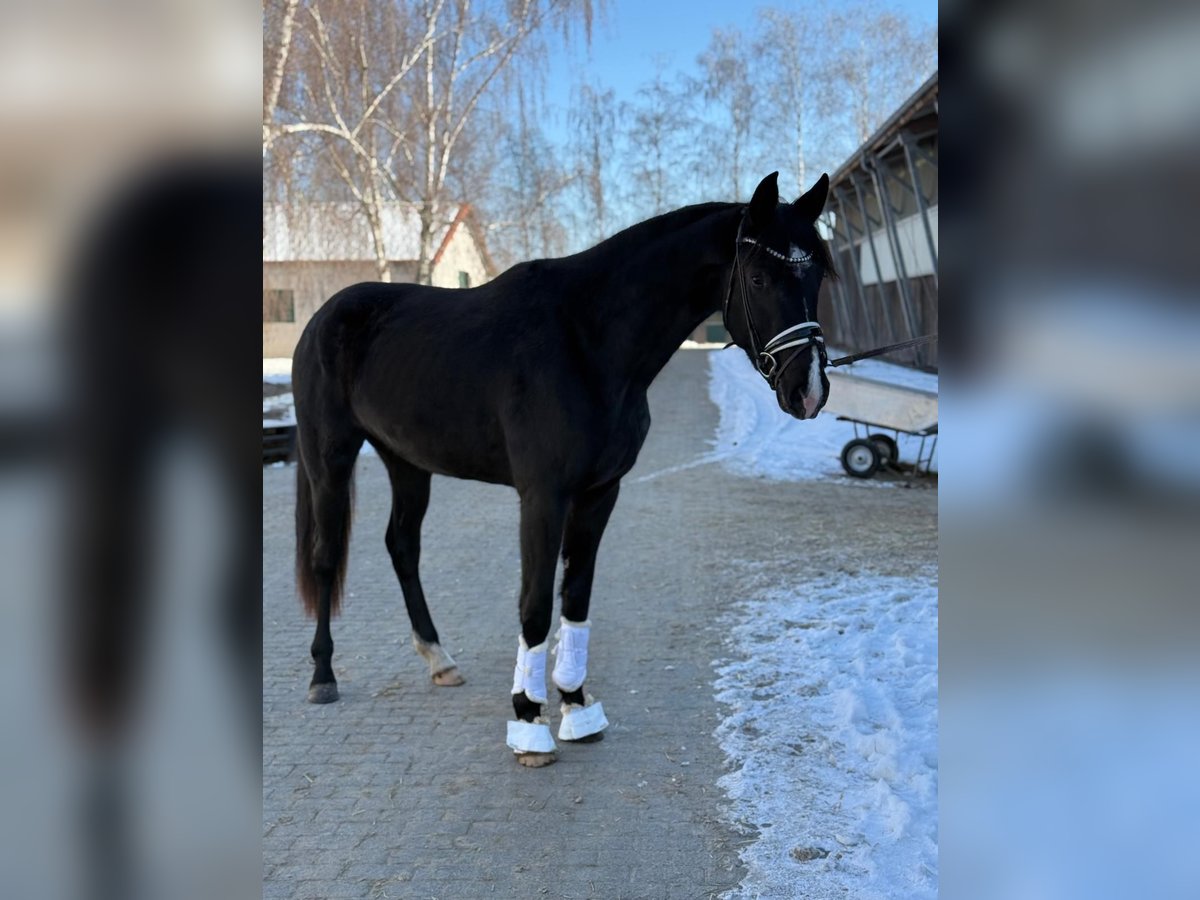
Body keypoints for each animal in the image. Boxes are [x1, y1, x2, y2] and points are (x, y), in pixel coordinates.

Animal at [295, 172, 830, 763]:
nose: (808, 389)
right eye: (758, 277)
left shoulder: (600, 492)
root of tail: (325, 316)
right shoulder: (542, 496)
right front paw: (529, 723)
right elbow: (533, 605)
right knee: (325, 557)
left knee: (402, 546)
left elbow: (575, 598)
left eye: (817, 274)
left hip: (407, 462)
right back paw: (323, 676)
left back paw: (439, 658)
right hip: (329, 454)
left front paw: (576, 706)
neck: (587, 341)